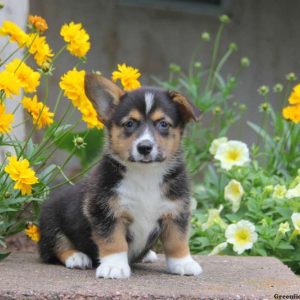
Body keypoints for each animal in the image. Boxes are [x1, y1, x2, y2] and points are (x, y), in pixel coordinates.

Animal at [37, 72, 202, 278]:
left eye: (163, 124)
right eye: (129, 124)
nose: (144, 147)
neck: (145, 174)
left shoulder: (176, 211)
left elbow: (177, 241)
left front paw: (184, 263)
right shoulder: (105, 211)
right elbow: (113, 241)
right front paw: (113, 266)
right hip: (50, 221)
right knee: (56, 246)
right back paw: (77, 257)